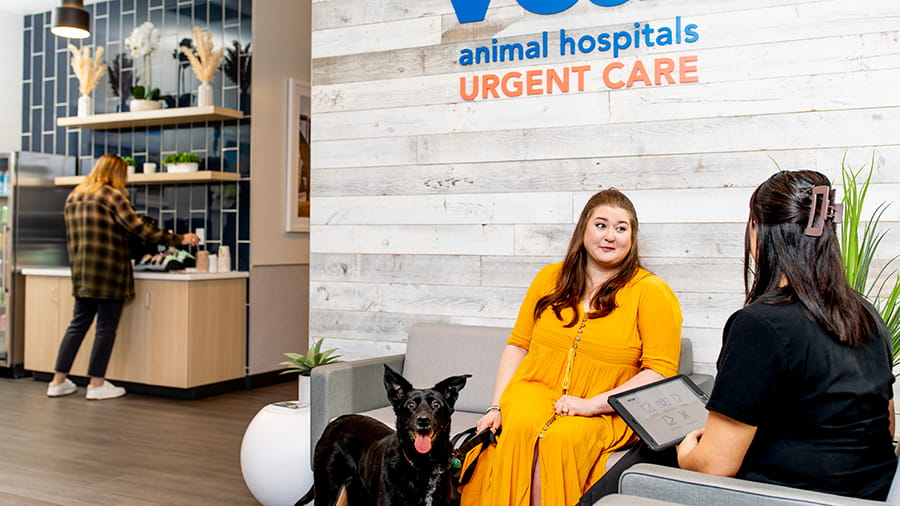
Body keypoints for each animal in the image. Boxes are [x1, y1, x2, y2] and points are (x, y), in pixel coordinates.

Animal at [298, 366, 472, 504]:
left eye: (436, 405)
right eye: (411, 405)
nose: (423, 420)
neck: (423, 463)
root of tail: (335, 422)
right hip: (327, 487)